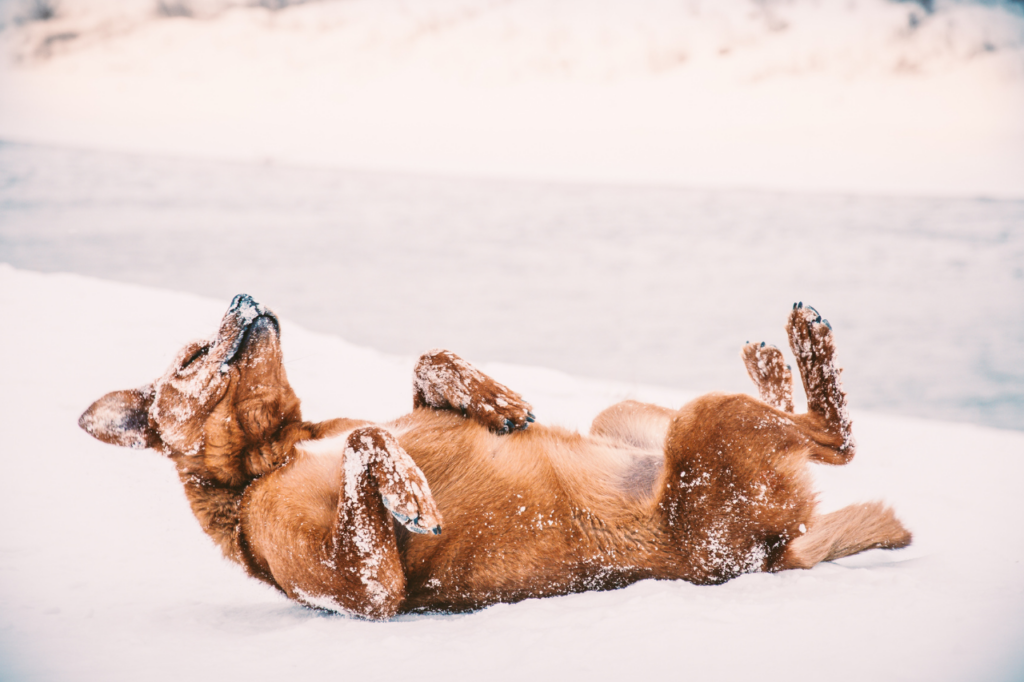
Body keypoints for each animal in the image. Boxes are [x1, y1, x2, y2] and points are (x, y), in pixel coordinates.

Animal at [81, 294, 913, 618]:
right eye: (191, 355)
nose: (243, 298)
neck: (274, 450)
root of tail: (777, 552)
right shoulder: (371, 592)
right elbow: (367, 443)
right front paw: (412, 494)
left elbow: (417, 374)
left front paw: (491, 395)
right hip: (707, 434)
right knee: (836, 438)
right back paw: (803, 340)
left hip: (630, 417)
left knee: (805, 422)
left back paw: (771, 358)